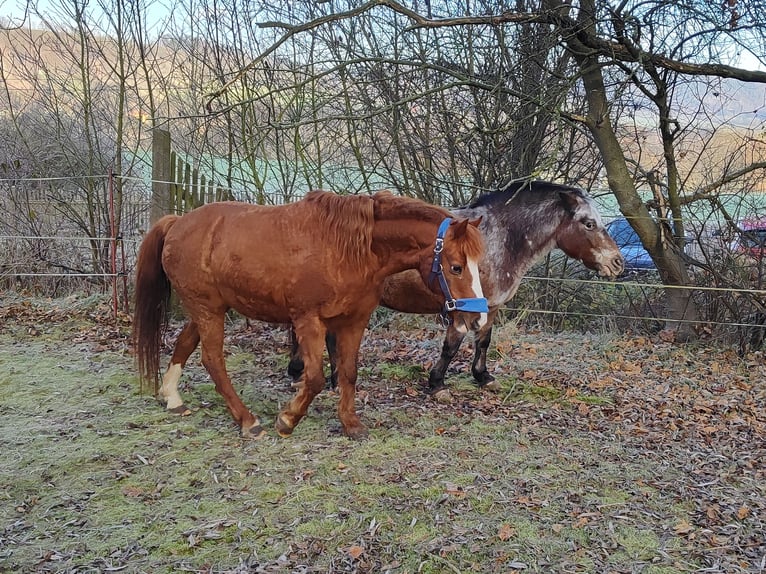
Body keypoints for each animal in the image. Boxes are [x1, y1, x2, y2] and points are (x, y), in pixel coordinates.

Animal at [131, 190, 486, 440]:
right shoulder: (307, 320)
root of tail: (177, 223)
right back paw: (248, 420)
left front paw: (350, 424)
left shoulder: (353, 322)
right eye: (456, 267)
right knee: (212, 360)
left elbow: (348, 373)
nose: (478, 318)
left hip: (209, 308)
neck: (350, 250)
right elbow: (314, 378)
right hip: (208, 310)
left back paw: (172, 397)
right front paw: (287, 420)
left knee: (185, 343)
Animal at [288, 182, 624, 402]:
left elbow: (484, 341)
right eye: (589, 223)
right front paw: (437, 384)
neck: (498, 239)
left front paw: (483, 377)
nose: (617, 263)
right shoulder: (462, 307)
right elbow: (451, 346)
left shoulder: (491, 306)